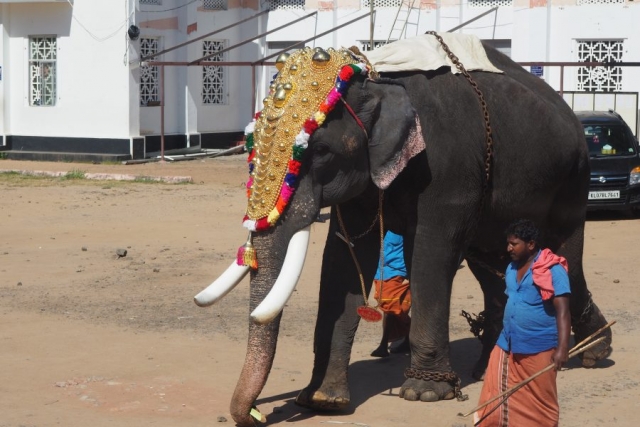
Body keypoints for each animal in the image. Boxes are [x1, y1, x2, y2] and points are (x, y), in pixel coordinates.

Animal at [194, 33, 612, 426]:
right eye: (249, 148)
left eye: (322, 151)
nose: (258, 415)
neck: (375, 76)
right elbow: (342, 259)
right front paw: (322, 401)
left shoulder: (448, 172)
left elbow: (431, 255)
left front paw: (425, 392)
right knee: (494, 266)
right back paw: (489, 367)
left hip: (573, 181)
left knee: (565, 258)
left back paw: (594, 351)